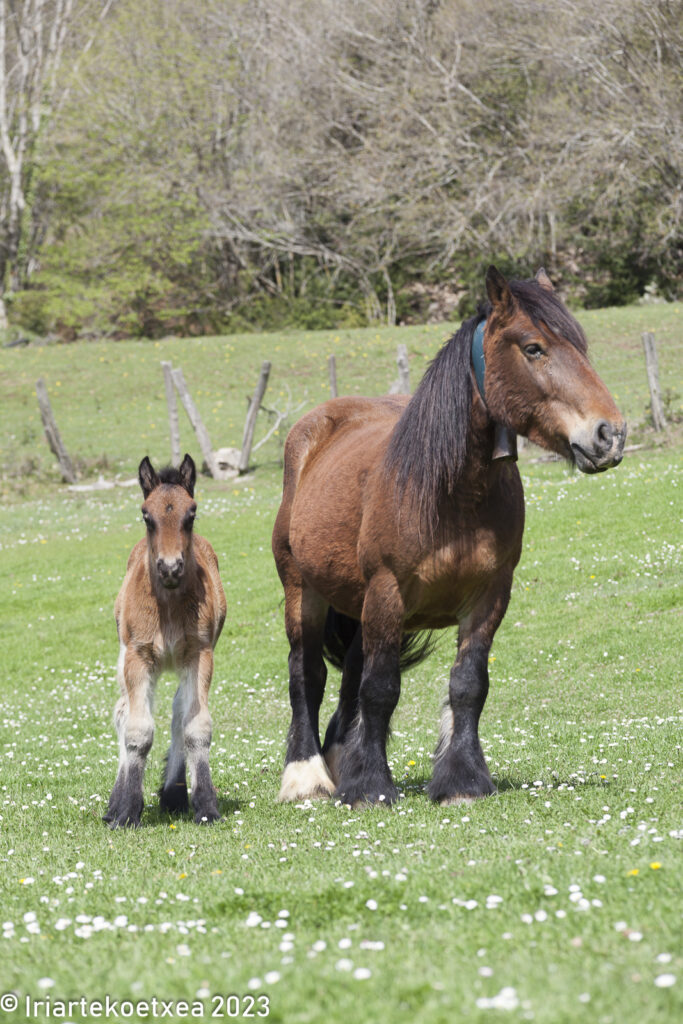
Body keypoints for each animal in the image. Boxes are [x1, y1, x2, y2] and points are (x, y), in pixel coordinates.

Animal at [270, 266, 626, 806]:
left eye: (582, 346)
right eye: (534, 348)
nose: (610, 435)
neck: (449, 492)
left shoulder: (489, 595)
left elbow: (467, 684)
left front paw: (461, 780)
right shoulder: (387, 592)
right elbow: (380, 688)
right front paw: (370, 787)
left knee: (349, 674)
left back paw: (340, 760)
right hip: (305, 590)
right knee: (307, 673)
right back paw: (306, 776)